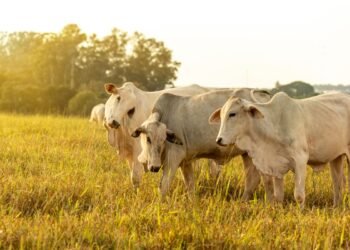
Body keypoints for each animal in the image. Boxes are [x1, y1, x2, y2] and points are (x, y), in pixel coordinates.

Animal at [131, 89, 274, 200]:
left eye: (163, 139)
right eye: (148, 138)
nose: (154, 167)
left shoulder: (173, 158)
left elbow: (164, 186)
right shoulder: (185, 162)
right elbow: (190, 186)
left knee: (265, 179)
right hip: (247, 154)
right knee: (252, 179)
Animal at [211, 91, 350, 207]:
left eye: (232, 114)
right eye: (221, 115)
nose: (219, 140)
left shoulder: (300, 160)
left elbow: (299, 195)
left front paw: (300, 212)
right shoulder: (275, 166)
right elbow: (278, 196)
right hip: (336, 158)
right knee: (338, 183)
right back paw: (336, 207)